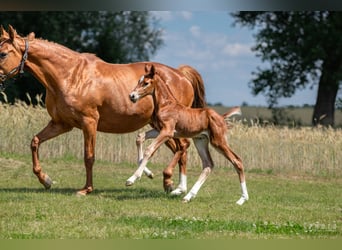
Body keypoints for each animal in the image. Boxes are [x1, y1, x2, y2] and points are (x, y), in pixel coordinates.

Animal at [128, 64, 248, 205]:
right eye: (138, 81)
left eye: (146, 83)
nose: (132, 96)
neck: (166, 104)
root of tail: (221, 117)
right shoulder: (159, 130)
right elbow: (140, 137)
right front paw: (147, 172)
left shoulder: (167, 132)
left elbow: (149, 150)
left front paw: (132, 178)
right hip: (200, 140)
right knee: (208, 164)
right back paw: (188, 196)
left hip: (218, 141)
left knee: (237, 161)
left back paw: (242, 199)